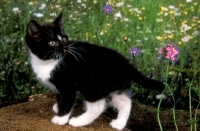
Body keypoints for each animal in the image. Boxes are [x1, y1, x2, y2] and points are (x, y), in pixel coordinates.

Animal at [25, 13, 164, 130]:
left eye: (64, 39)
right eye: (52, 42)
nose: (65, 48)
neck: (48, 62)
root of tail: (124, 62)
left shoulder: (68, 85)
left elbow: (67, 100)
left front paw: (61, 118)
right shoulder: (60, 87)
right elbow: (60, 98)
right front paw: (58, 107)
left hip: (93, 85)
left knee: (97, 107)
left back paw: (78, 121)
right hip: (110, 85)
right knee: (125, 101)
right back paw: (119, 124)